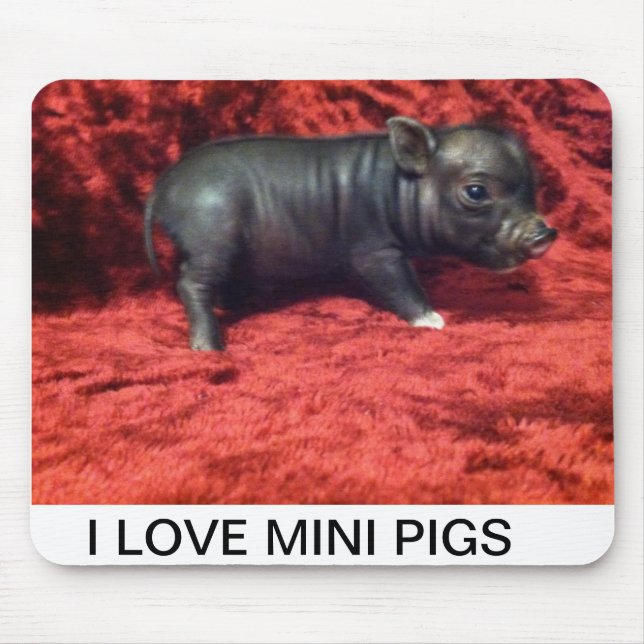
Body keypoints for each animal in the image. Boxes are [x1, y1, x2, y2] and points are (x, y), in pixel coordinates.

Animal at [144, 116, 557, 350]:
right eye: (476, 191)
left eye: (533, 187)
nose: (545, 234)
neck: (398, 187)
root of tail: (162, 186)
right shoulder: (375, 251)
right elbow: (400, 285)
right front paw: (434, 322)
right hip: (211, 237)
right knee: (190, 283)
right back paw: (210, 348)